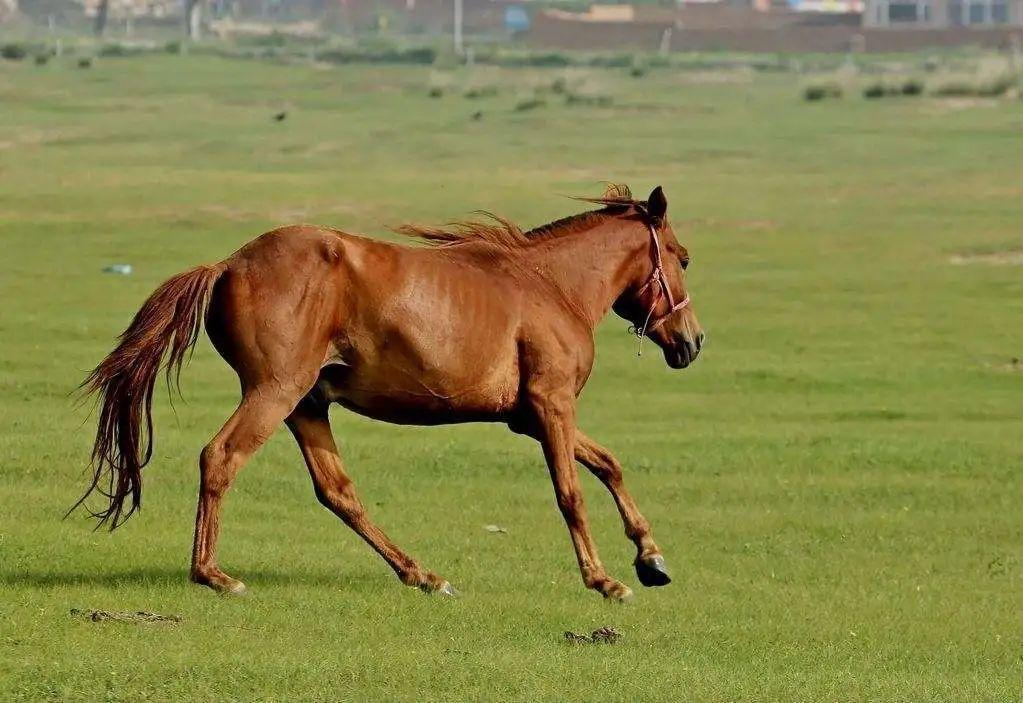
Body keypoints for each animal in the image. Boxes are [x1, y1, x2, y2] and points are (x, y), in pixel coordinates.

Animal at [75, 184, 703, 601]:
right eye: (683, 257)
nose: (692, 342)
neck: (551, 287)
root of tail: (228, 265)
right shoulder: (552, 406)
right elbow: (571, 493)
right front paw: (605, 580)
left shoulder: (528, 416)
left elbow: (609, 464)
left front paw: (651, 558)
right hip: (274, 393)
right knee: (221, 457)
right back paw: (214, 575)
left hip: (306, 404)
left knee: (338, 492)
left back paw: (421, 574)